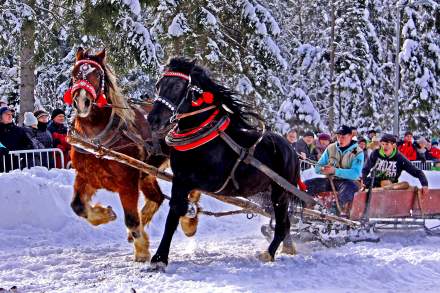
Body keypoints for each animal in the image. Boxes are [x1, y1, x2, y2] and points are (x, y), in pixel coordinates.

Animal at [68, 47, 168, 260]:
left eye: (97, 75)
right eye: (74, 73)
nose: (81, 101)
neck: (98, 141)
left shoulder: (127, 183)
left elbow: (131, 219)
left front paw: (142, 251)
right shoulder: (86, 176)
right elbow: (78, 207)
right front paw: (106, 213)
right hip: (147, 173)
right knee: (157, 198)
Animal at [148, 57, 302, 270]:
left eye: (178, 85)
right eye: (158, 85)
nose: (153, 119)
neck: (205, 136)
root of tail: (291, 149)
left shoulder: (202, 181)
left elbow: (179, 209)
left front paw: (161, 256)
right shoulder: (179, 179)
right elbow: (172, 215)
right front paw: (160, 257)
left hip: (280, 192)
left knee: (282, 224)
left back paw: (269, 253)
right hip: (265, 193)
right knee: (282, 221)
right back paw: (287, 247)